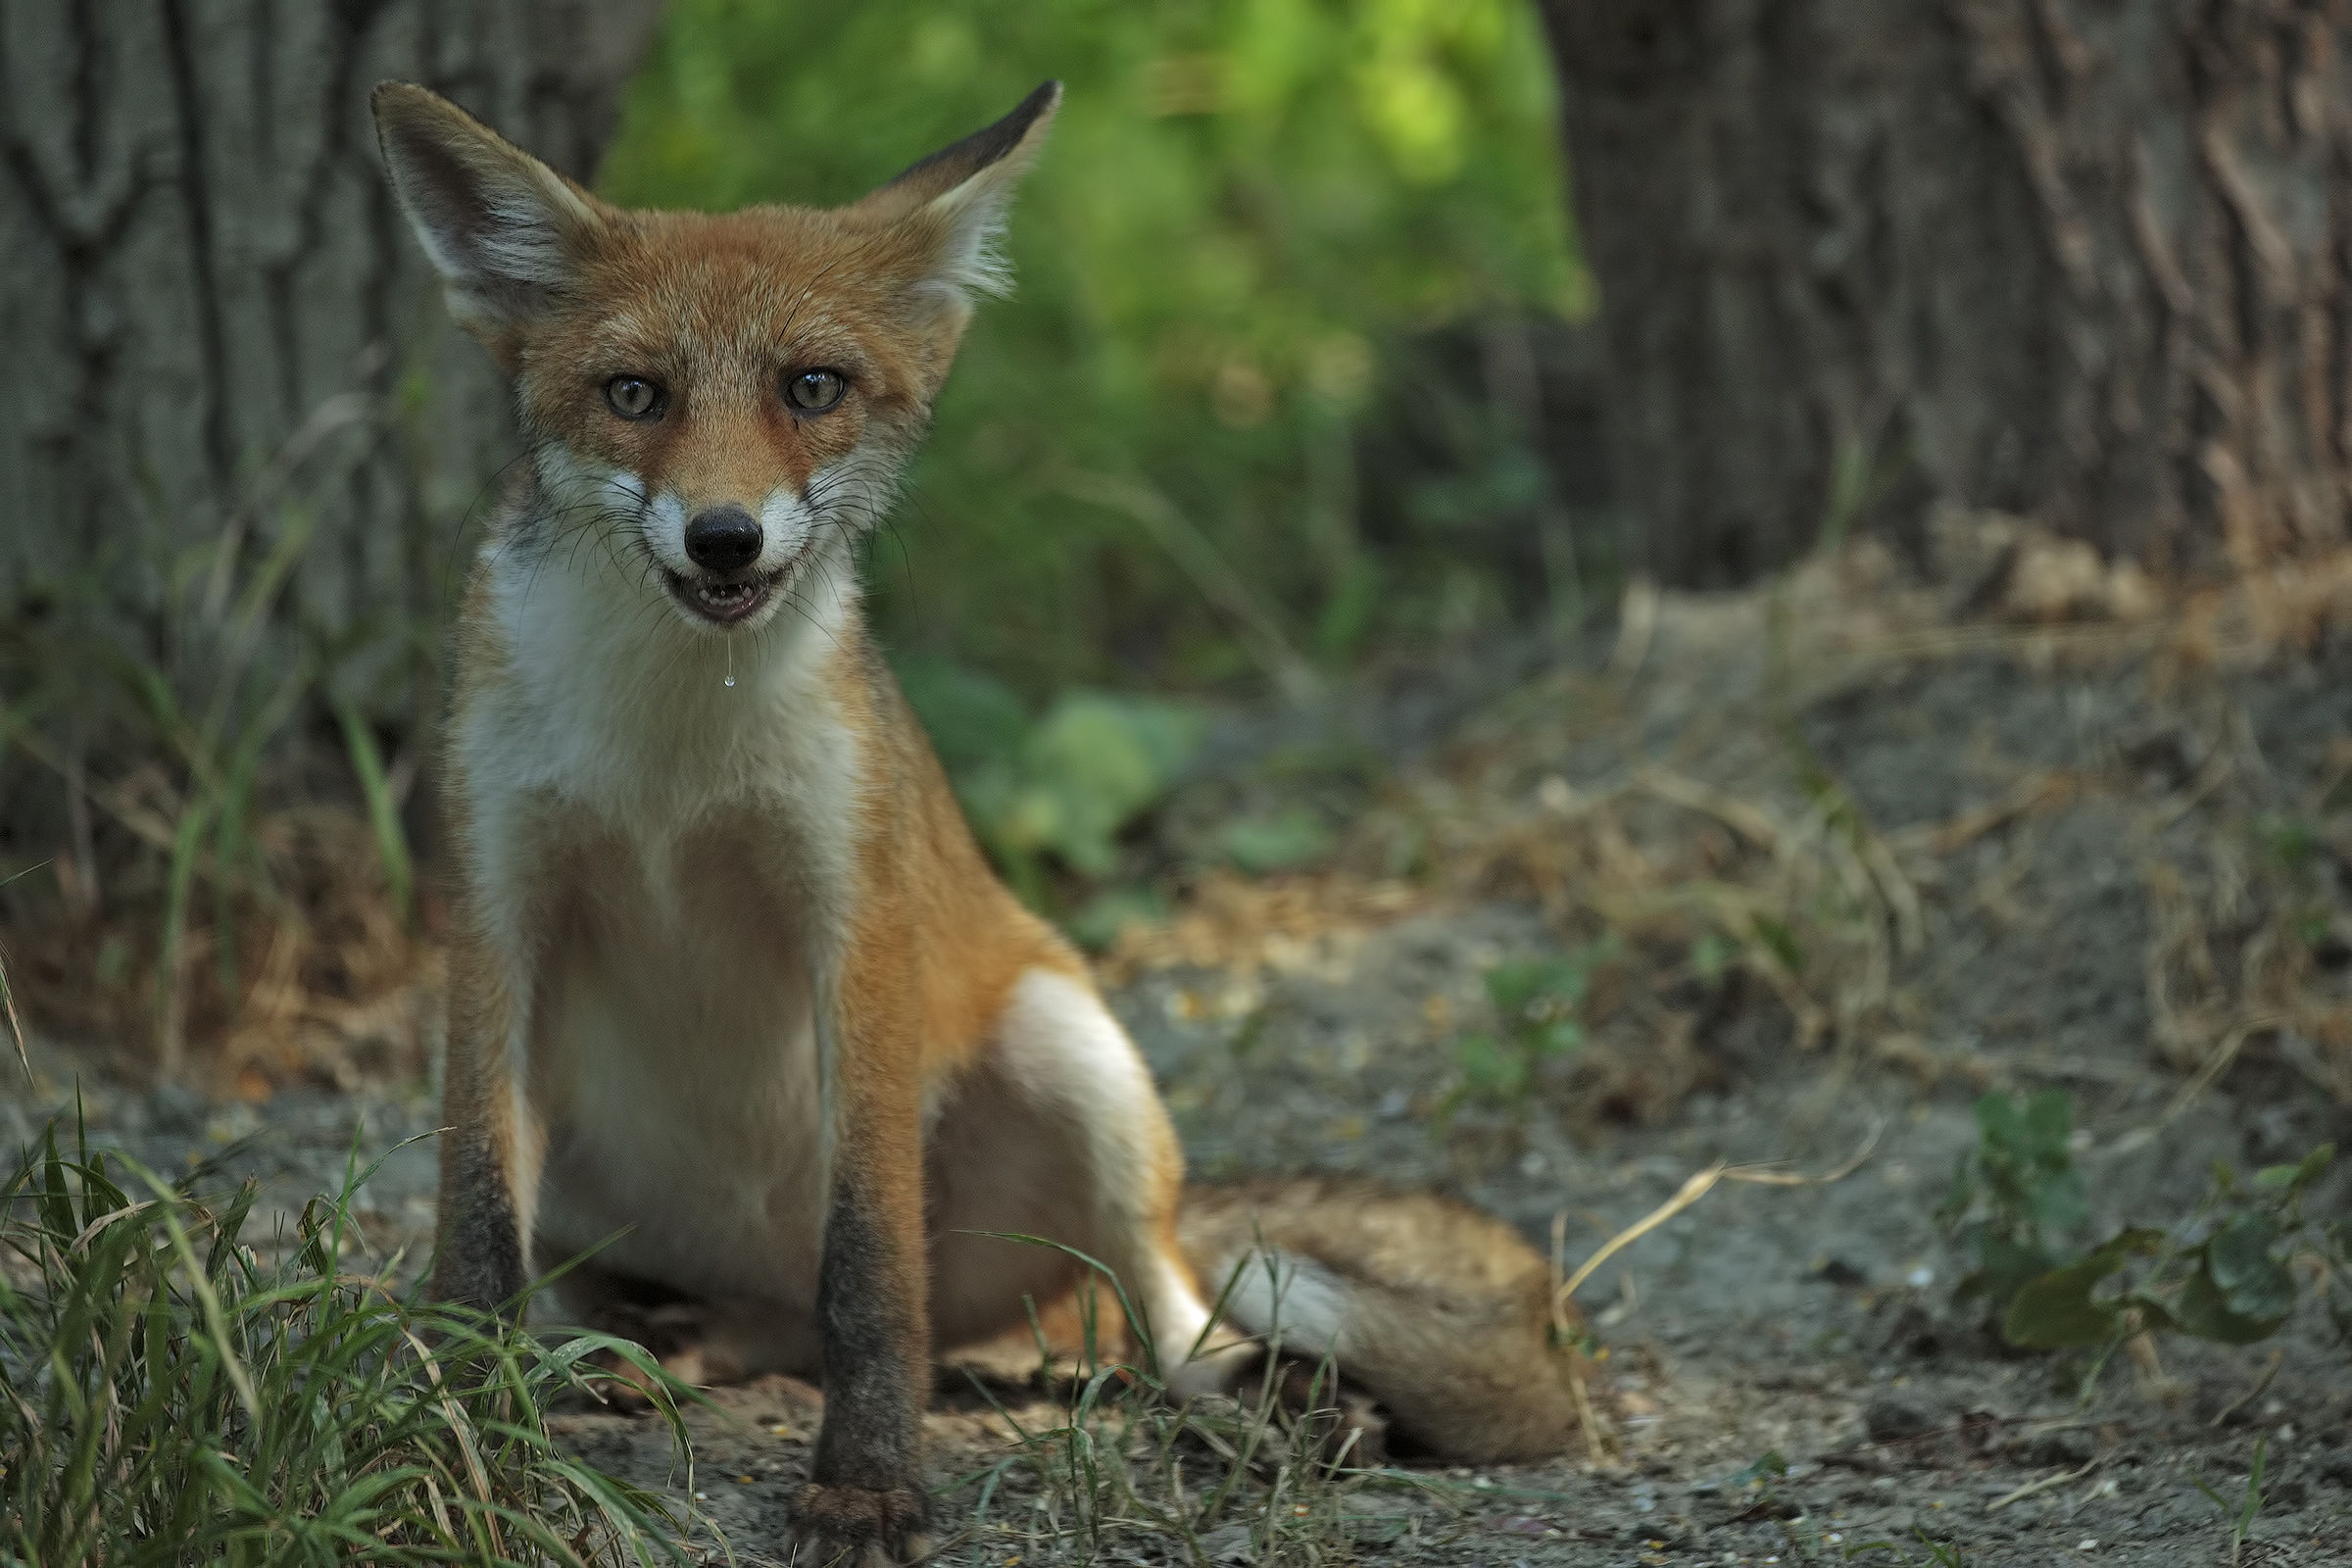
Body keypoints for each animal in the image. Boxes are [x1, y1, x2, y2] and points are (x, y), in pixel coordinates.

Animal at [371, 79, 1579, 1563]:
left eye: (812, 388)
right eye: (634, 395)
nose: (724, 537)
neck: (670, 758)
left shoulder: (854, 925)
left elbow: (871, 1272)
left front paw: (868, 1483)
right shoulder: (499, 916)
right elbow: (475, 1229)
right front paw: (456, 1430)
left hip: (1075, 1053)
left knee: (1151, 1313)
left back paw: (1257, 1403)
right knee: (716, 1317)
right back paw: (649, 1355)